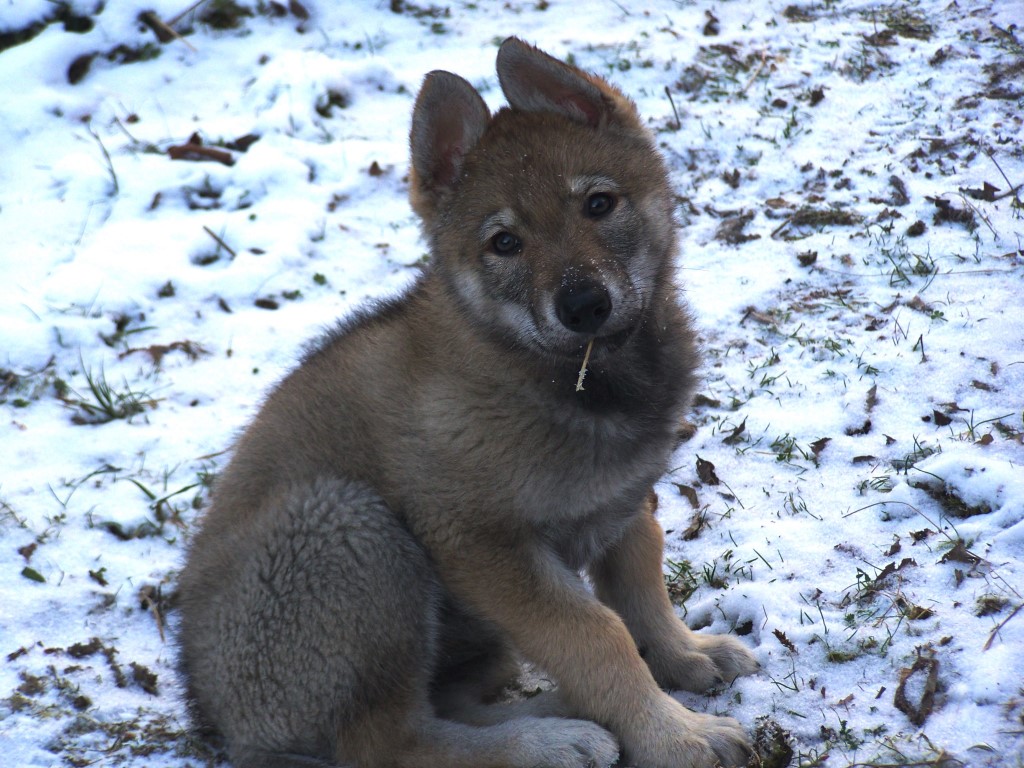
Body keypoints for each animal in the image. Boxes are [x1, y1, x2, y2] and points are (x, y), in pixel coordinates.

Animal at [178, 39, 753, 768]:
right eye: (504, 243)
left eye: (599, 204)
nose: (583, 305)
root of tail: (221, 721)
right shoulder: (483, 545)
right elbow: (597, 634)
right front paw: (673, 735)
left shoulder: (620, 503)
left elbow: (641, 594)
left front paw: (681, 657)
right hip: (351, 529)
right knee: (390, 743)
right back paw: (548, 741)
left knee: (446, 704)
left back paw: (559, 713)